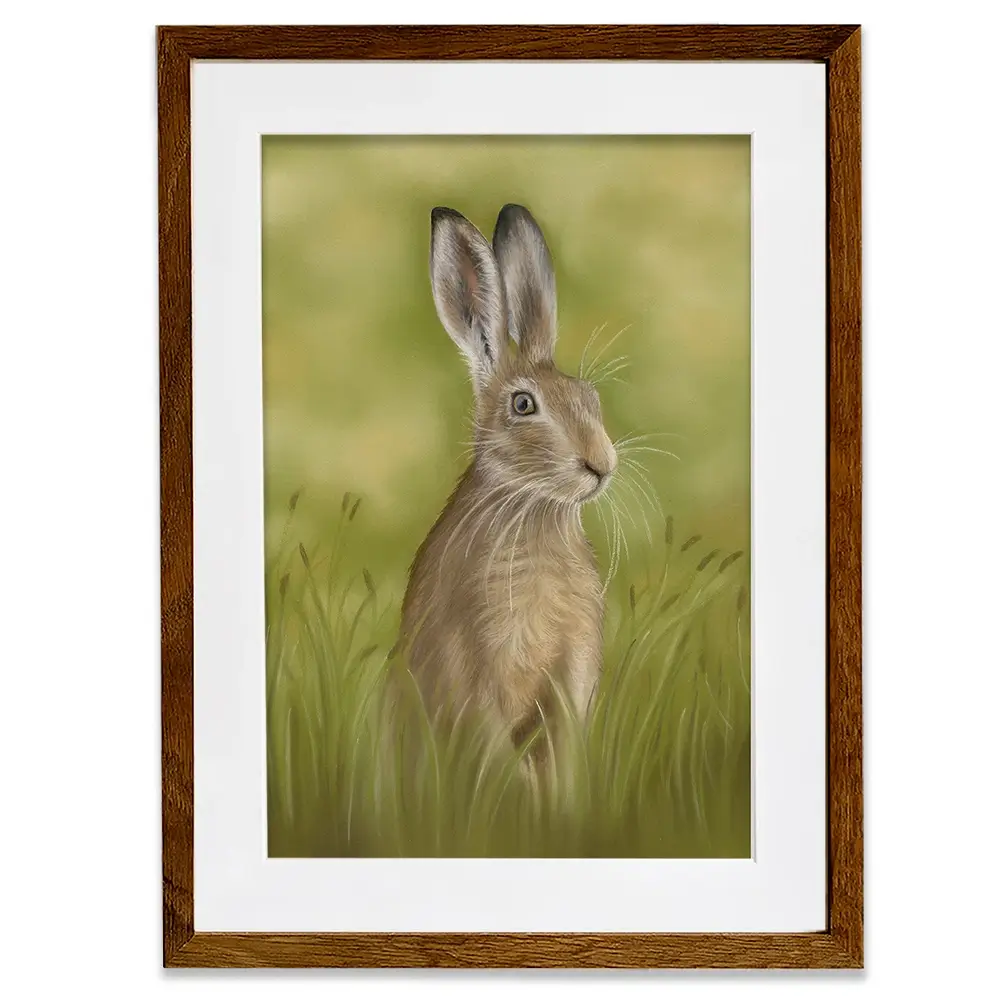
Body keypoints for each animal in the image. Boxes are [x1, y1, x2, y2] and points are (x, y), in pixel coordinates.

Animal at [396, 204, 617, 765]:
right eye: (522, 405)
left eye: (589, 396)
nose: (601, 464)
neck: (535, 511)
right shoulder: (474, 675)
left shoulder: (571, 677)